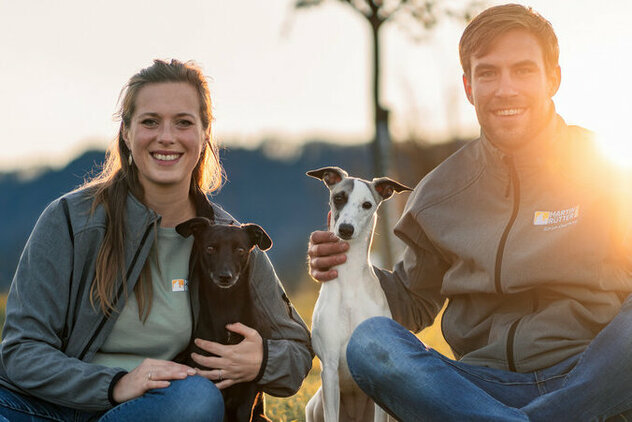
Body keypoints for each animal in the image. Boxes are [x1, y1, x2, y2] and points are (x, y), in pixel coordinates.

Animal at [304, 166, 410, 422]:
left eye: (367, 204)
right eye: (339, 197)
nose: (345, 229)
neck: (350, 281)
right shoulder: (330, 369)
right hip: (315, 405)